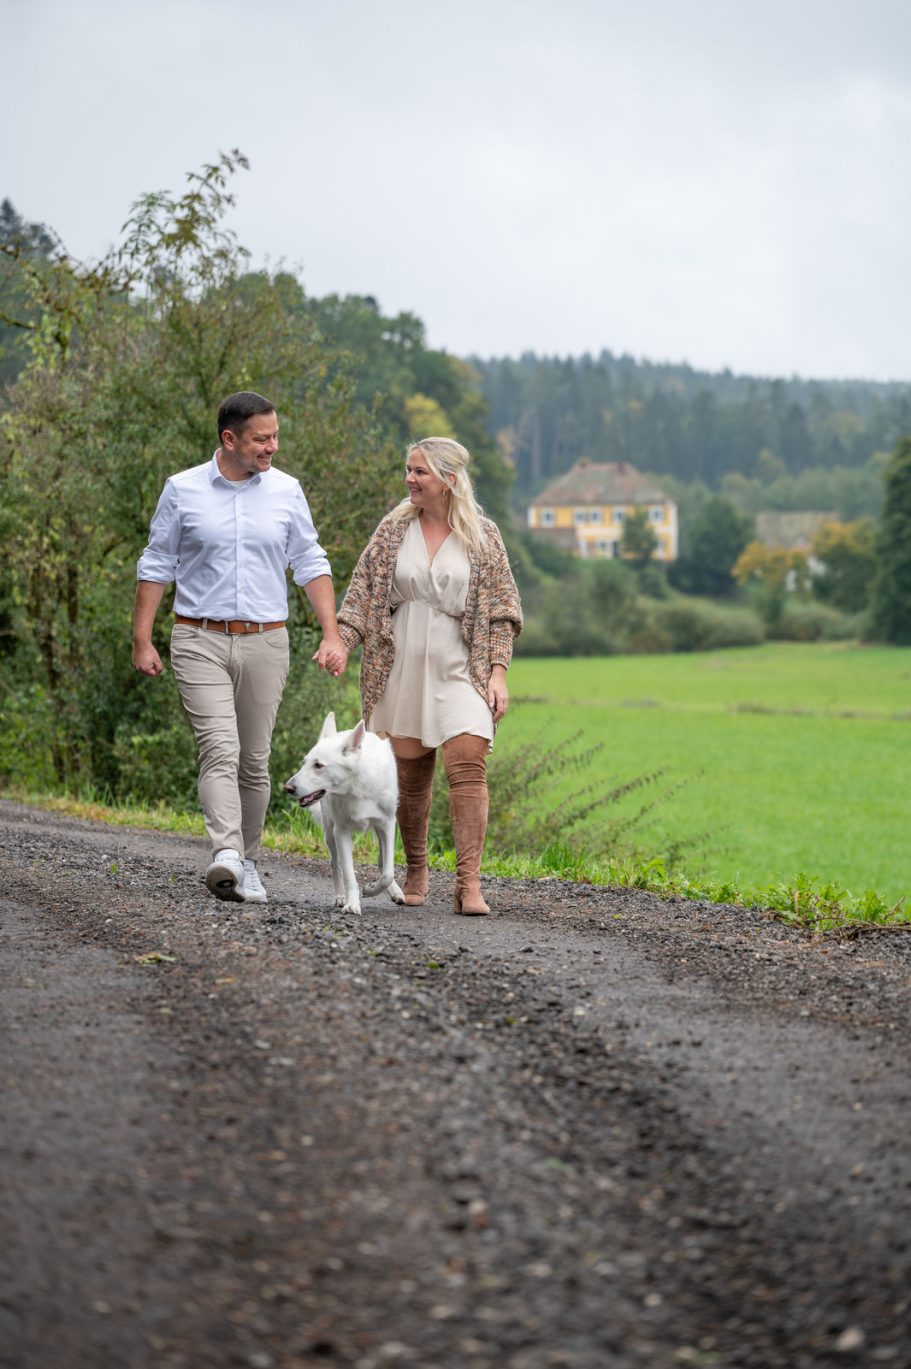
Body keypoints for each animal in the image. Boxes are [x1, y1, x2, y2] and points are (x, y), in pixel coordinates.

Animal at [280, 711, 402, 914]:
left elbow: (388, 872)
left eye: (318, 765)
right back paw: (339, 896)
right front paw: (351, 903)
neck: (357, 788)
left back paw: (395, 891)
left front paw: (371, 889)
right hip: (330, 834)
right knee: (335, 865)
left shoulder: (387, 825)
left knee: (383, 864)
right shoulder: (341, 832)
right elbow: (348, 875)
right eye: (304, 763)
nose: (288, 788)